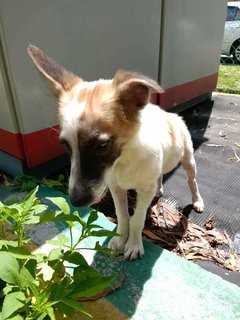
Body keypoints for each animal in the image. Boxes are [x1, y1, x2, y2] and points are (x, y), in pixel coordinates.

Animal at [28, 45, 204, 260]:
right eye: (65, 145)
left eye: (102, 145)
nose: (76, 201)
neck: (124, 159)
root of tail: (171, 115)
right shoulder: (115, 187)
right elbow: (123, 216)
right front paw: (120, 240)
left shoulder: (143, 191)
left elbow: (137, 218)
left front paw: (134, 244)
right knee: (160, 176)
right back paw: (160, 188)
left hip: (188, 160)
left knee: (191, 180)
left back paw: (197, 200)